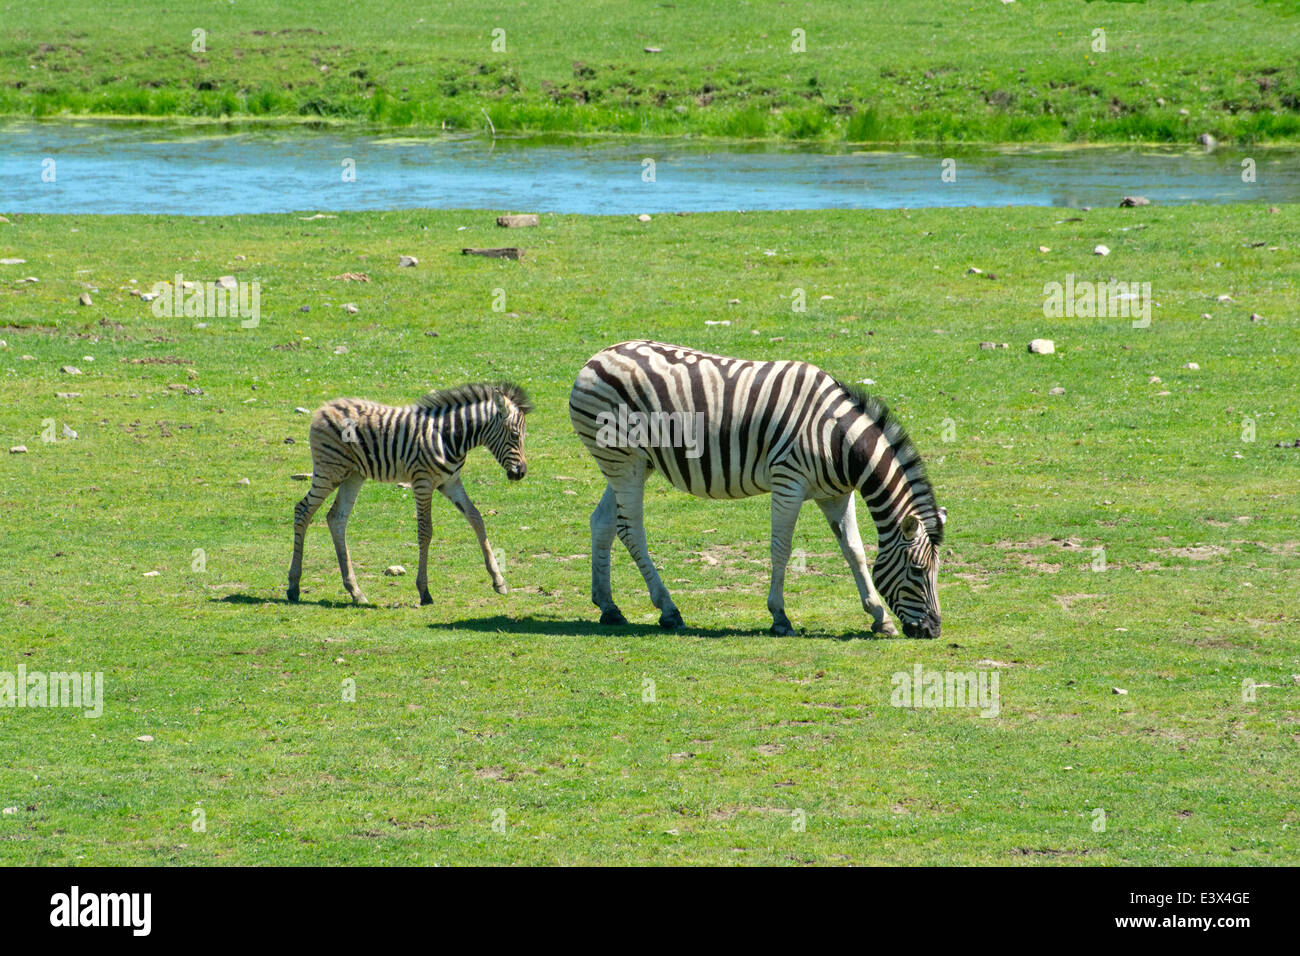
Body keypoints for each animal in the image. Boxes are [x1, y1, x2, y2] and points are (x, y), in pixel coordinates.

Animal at [287, 382, 531, 606]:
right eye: (514, 435)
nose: (520, 473)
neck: (449, 436)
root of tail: (325, 407)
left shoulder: (450, 481)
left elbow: (476, 519)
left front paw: (498, 581)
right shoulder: (422, 482)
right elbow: (425, 531)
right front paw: (424, 592)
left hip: (353, 474)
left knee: (336, 518)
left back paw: (355, 592)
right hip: (330, 470)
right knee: (302, 511)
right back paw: (294, 586)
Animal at [568, 340, 945, 639]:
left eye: (936, 571)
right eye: (917, 571)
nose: (933, 631)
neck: (838, 439)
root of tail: (596, 357)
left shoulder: (835, 494)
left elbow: (854, 550)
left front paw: (880, 617)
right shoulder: (788, 482)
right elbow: (781, 549)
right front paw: (780, 617)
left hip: (632, 464)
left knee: (603, 523)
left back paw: (609, 606)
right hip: (624, 460)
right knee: (630, 529)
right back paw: (668, 609)